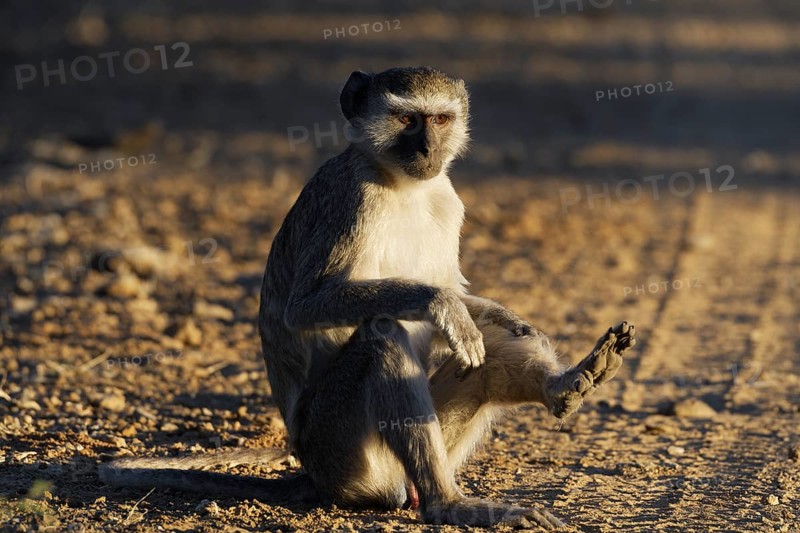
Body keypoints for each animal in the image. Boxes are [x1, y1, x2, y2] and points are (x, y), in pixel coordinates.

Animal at [99, 66, 636, 529]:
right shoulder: (353, 199)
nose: (428, 147)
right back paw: (449, 505)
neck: (402, 185)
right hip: (341, 450)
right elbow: (310, 305)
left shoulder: (447, 198)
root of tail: (309, 469)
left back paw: (566, 387)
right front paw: (441, 305)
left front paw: (509, 318)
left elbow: (475, 315)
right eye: (407, 120)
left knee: (478, 357)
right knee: (383, 333)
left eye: (440, 119)